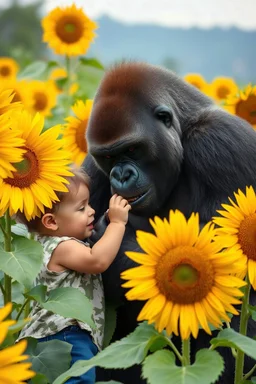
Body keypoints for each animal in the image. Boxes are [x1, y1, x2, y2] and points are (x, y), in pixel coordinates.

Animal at [83, 61, 256, 382]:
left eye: (132, 150)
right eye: (109, 157)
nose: (121, 175)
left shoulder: (224, 145)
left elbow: (225, 263)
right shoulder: (92, 170)